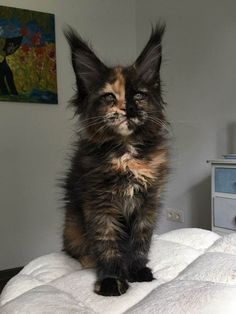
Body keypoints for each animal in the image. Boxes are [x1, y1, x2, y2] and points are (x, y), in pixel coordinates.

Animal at [62, 25, 170, 296]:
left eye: (139, 96)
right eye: (110, 97)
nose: (129, 109)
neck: (126, 151)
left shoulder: (148, 204)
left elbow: (140, 241)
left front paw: (137, 270)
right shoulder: (99, 203)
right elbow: (107, 242)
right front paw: (111, 279)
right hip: (72, 228)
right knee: (76, 250)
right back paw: (89, 259)